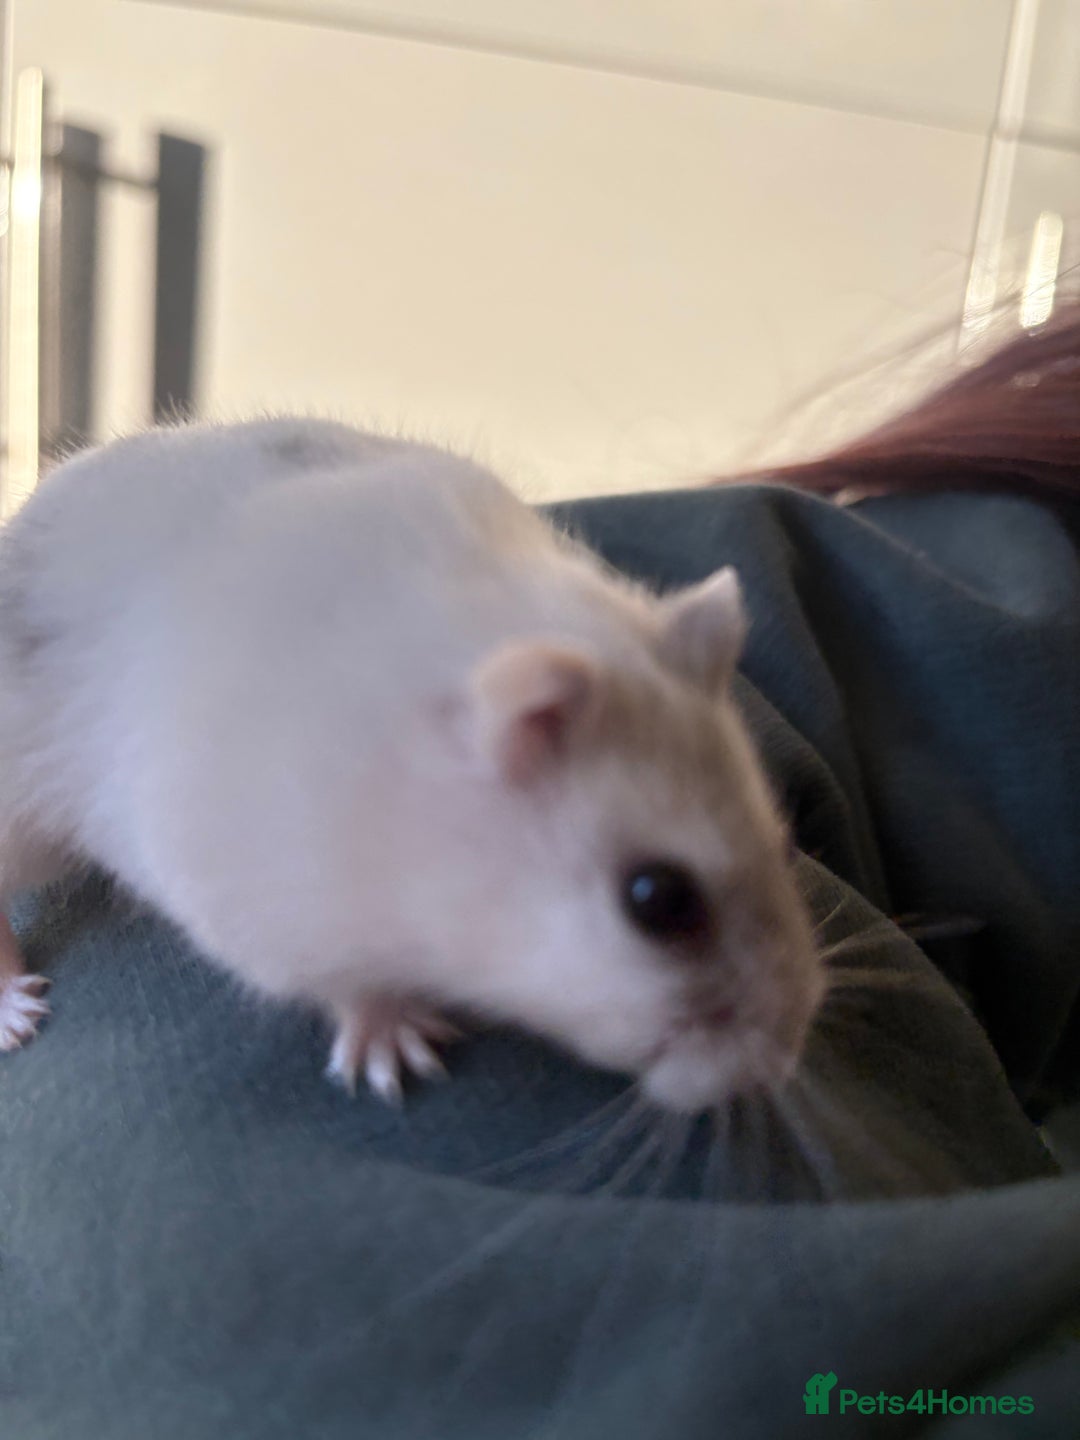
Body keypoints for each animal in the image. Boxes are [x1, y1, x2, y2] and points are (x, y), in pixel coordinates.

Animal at [0, 419, 824, 1113]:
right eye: (657, 899)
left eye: (785, 844)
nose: (780, 1066)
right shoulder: (264, 900)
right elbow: (349, 985)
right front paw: (400, 1055)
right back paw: (17, 1011)